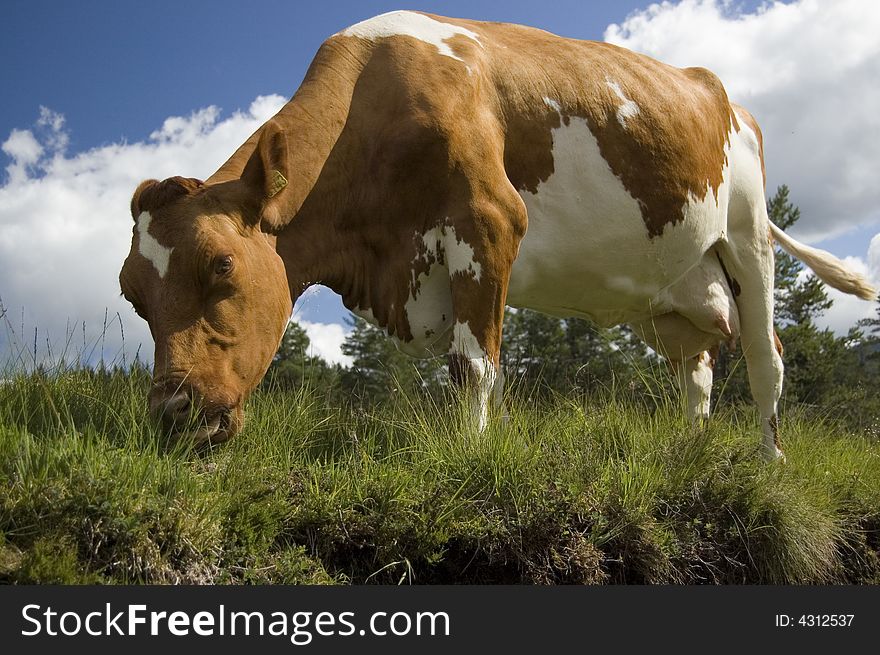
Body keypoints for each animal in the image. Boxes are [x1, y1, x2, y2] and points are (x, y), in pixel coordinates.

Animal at [118, 10, 872, 462]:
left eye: (221, 264)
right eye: (132, 295)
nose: (174, 414)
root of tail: (722, 93)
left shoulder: (488, 222)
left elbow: (472, 365)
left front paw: (471, 456)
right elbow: (490, 367)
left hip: (747, 236)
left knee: (766, 355)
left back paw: (770, 461)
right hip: (672, 291)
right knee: (698, 365)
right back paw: (688, 450)